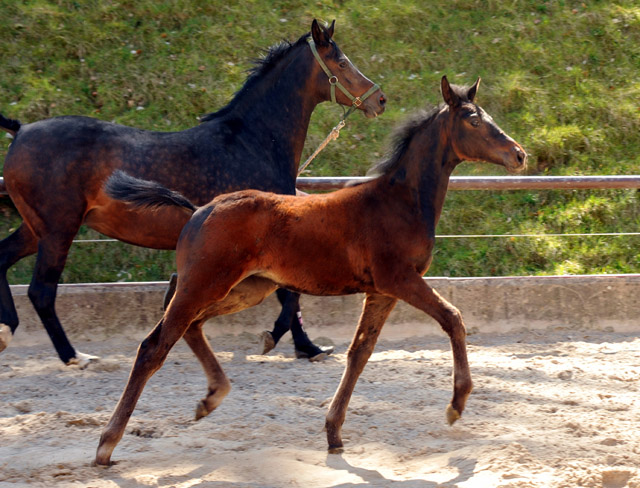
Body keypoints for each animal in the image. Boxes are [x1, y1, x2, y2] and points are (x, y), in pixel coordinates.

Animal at [0, 20, 384, 366]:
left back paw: (8, 330)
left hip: (37, 229)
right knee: (41, 291)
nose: (379, 99)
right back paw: (73, 356)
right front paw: (277, 340)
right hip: (58, 229)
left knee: (3, 260)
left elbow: (289, 295)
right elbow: (288, 297)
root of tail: (22, 129)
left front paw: (309, 347)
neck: (253, 142)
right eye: (342, 62)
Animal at [95, 77, 524, 466]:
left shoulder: (381, 291)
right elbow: (453, 318)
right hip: (205, 284)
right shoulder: (400, 279)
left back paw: (211, 398)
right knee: (153, 346)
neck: (399, 201)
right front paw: (457, 403)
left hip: (247, 288)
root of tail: (199, 209)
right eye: (473, 120)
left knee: (192, 326)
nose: (519, 154)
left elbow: (359, 352)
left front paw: (333, 433)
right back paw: (107, 444)